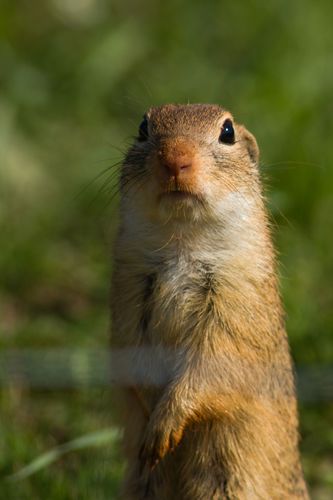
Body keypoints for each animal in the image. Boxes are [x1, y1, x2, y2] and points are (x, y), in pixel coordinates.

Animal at [110, 103, 308, 498]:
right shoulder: (128, 292)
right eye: (142, 128)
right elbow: (132, 357)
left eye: (227, 132)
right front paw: (150, 419)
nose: (175, 159)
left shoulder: (236, 301)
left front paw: (162, 426)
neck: (182, 243)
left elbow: (212, 365)